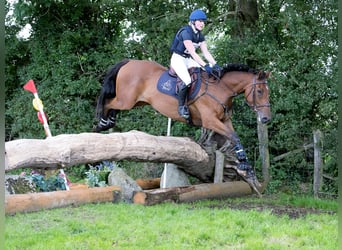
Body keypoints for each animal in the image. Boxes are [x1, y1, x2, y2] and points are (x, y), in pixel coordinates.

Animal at [94, 58, 270, 191]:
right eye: (260, 91)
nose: (266, 119)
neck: (221, 88)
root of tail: (129, 62)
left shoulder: (225, 121)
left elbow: (235, 137)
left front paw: (247, 167)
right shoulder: (210, 121)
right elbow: (234, 137)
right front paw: (244, 164)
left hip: (136, 102)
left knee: (113, 107)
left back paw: (108, 122)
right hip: (126, 100)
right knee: (107, 102)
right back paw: (101, 124)